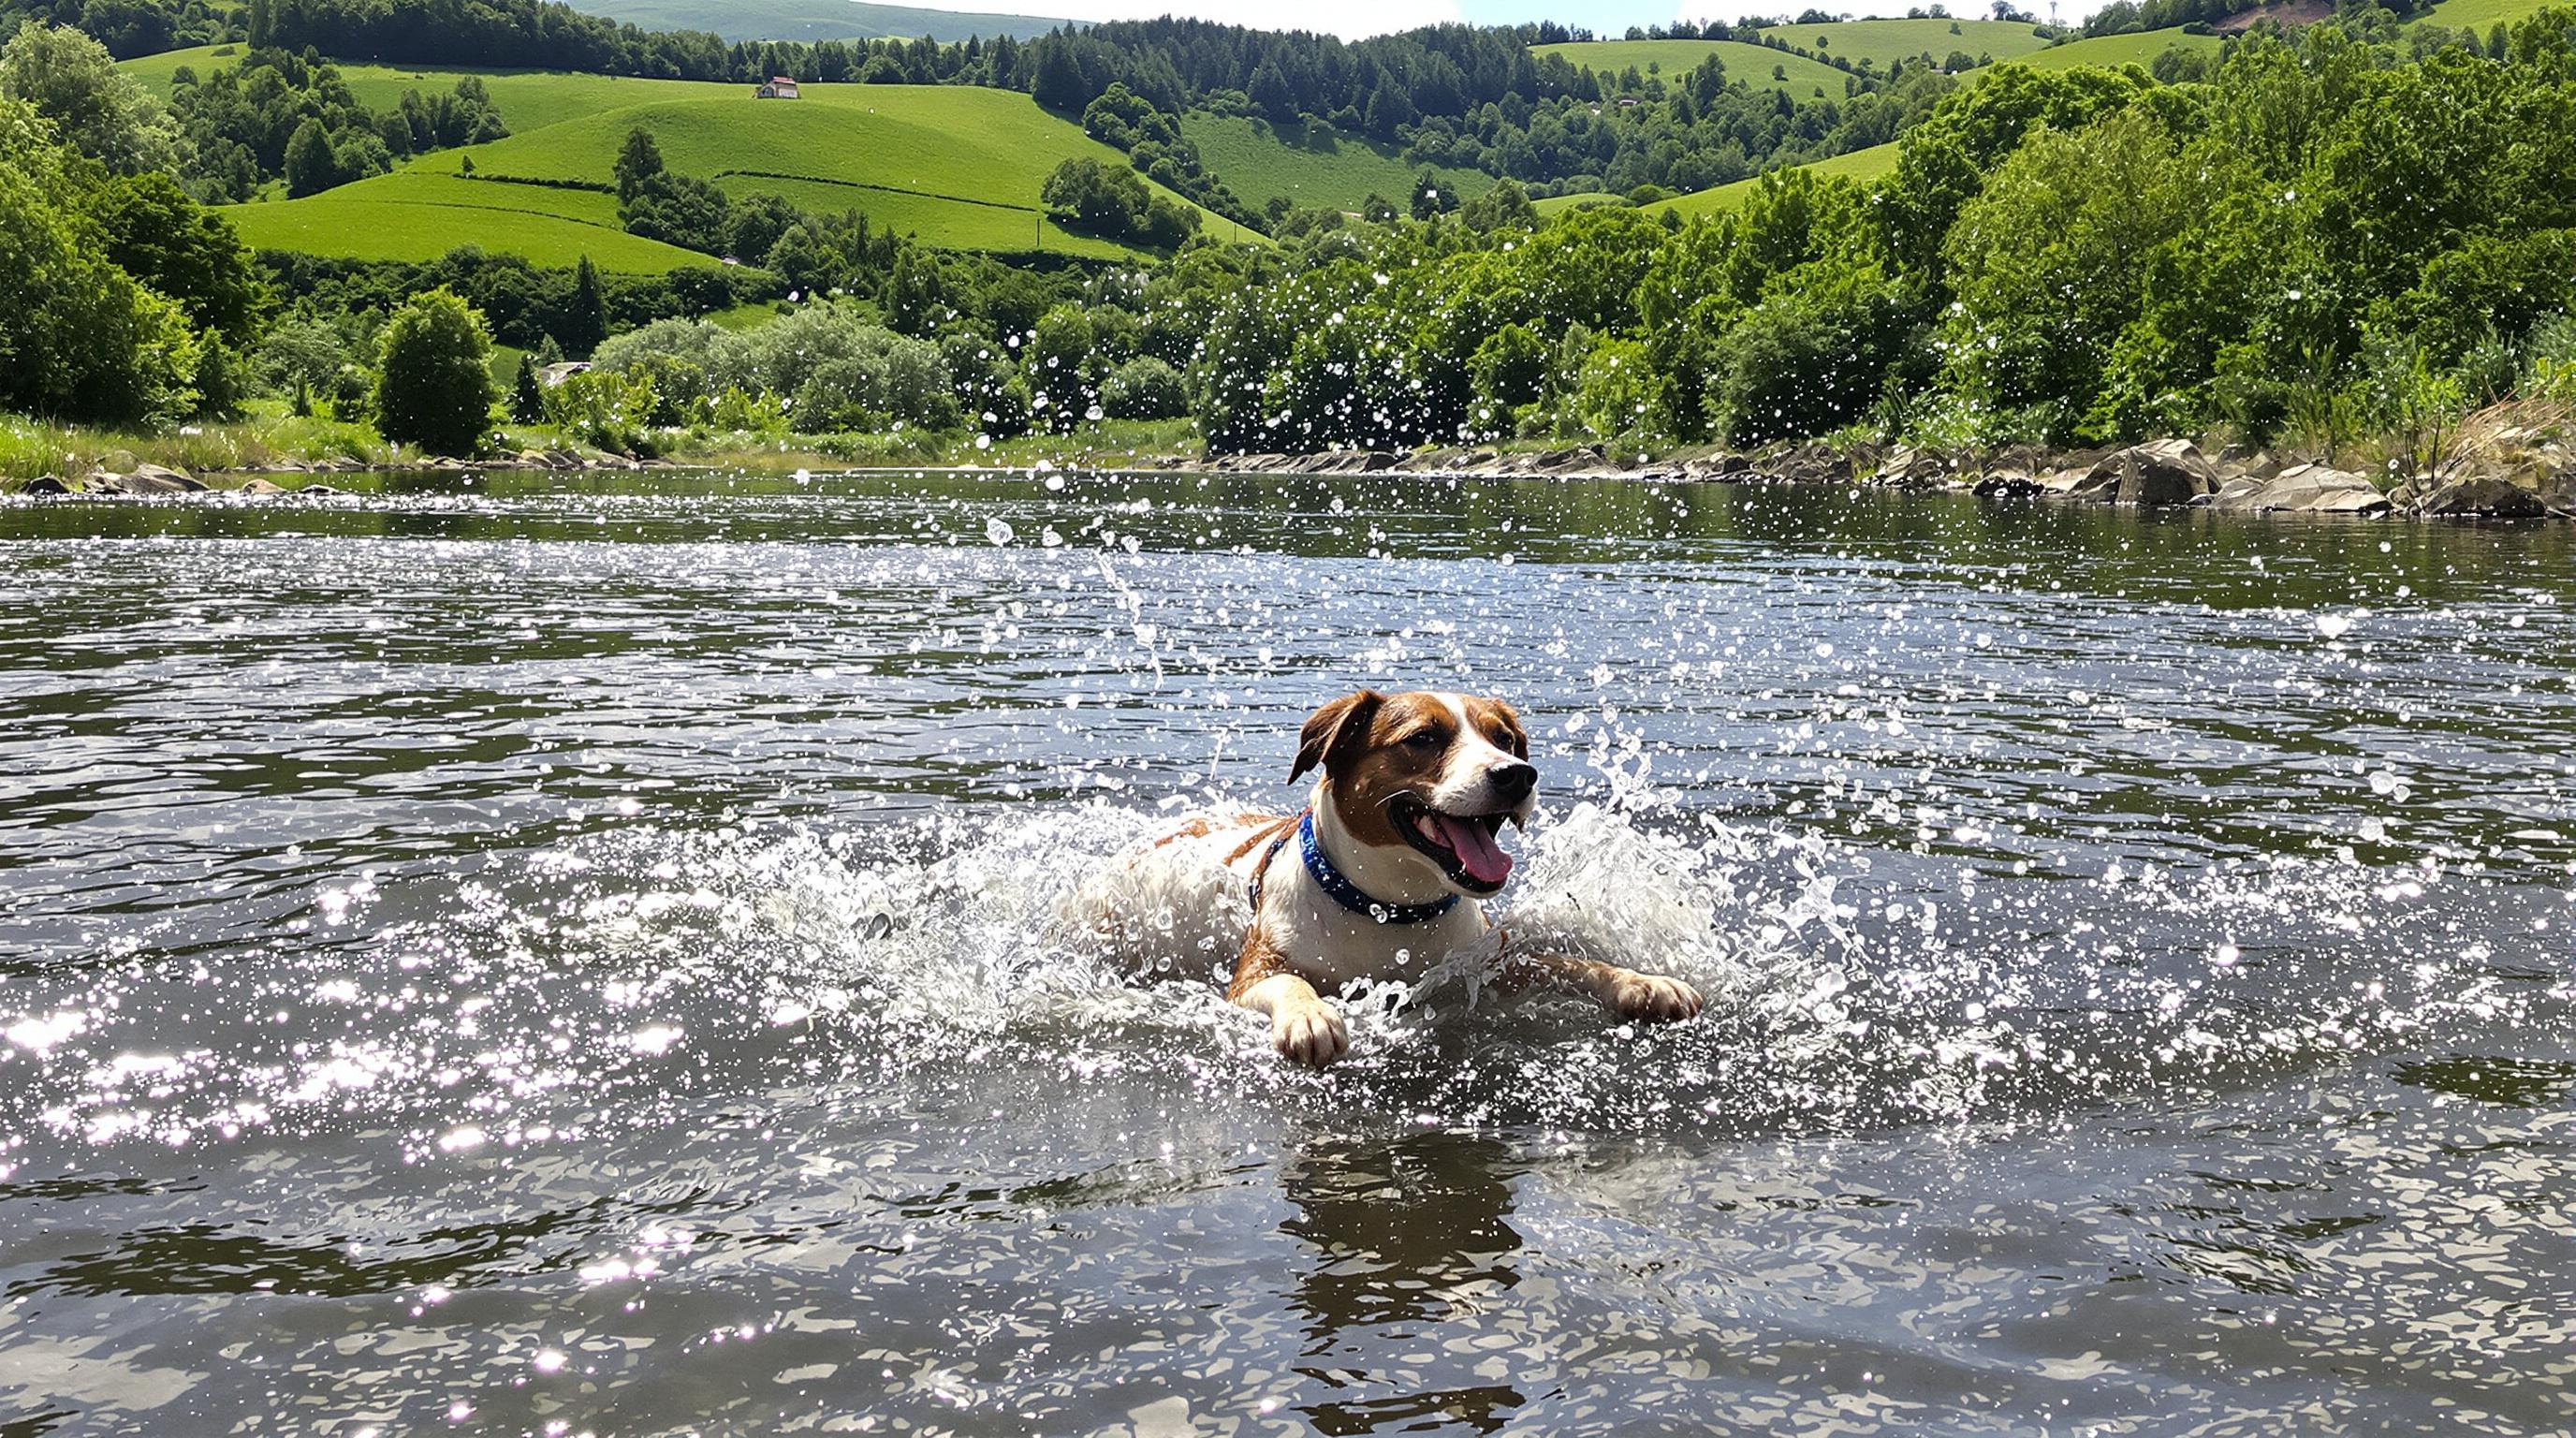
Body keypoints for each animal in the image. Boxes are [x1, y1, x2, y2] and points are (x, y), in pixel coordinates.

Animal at [1071, 685, 1700, 1072]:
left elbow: (1566, 962)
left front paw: (1644, 983)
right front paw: (1310, 1016)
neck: (1389, 910)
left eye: (1503, 738)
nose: (1518, 774)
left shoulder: (1483, 961)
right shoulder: (1251, 976)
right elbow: (1287, 983)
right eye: (1423, 737)